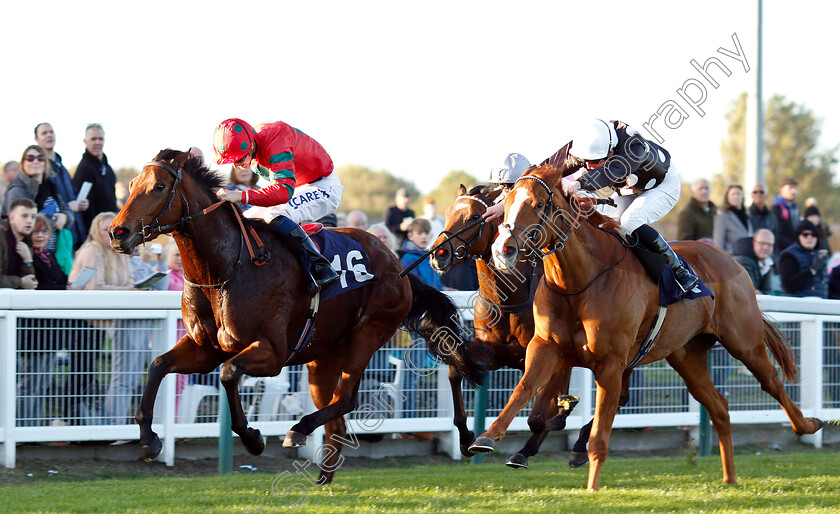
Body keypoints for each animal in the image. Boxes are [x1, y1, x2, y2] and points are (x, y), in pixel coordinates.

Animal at [110, 149, 486, 484]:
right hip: (323, 357)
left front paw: (253, 438)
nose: (117, 232)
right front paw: (149, 440)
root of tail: (398, 265)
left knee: (345, 399)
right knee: (335, 414)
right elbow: (158, 365)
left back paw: (299, 430)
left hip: (369, 333)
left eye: (159, 186)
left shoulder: (272, 352)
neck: (226, 267)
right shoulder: (206, 349)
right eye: (131, 184)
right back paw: (322, 475)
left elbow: (229, 374)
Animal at [434, 184, 592, 468]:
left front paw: (563, 412)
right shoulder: (493, 353)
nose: (439, 254)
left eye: (475, 217)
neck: (509, 298)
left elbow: (539, 415)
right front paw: (465, 438)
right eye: (448, 213)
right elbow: (454, 370)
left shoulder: (546, 354)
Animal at [470, 164, 824, 488]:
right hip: (687, 356)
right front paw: (487, 438)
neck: (579, 281)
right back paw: (729, 477)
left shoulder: (611, 363)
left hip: (744, 341)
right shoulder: (547, 347)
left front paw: (592, 483)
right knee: (720, 407)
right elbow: (524, 392)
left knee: (772, 384)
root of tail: (731, 258)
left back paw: (808, 425)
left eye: (540, 203)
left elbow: (599, 431)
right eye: (506, 201)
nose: (504, 249)